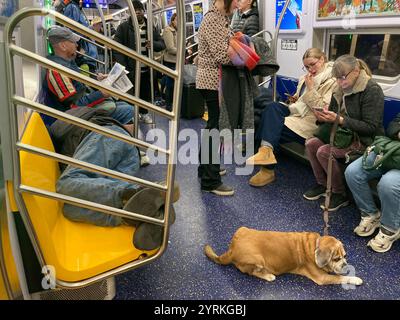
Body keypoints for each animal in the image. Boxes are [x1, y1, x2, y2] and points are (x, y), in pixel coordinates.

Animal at [205, 226, 364, 286]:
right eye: (336, 258)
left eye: (345, 256)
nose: (344, 264)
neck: (315, 245)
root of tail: (231, 249)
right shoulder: (322, 278)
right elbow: (339, 278)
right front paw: (355, 279)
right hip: (258, 260)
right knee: (252, 272)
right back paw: (268, 275)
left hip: (241, 229)